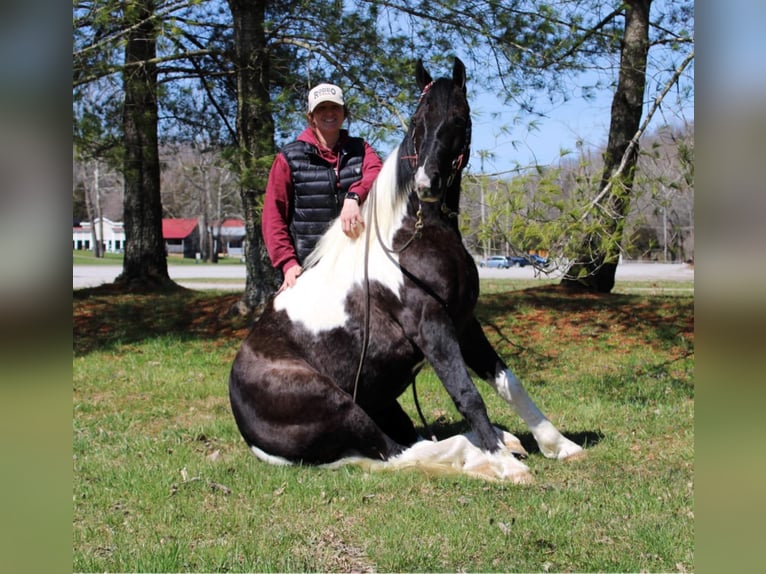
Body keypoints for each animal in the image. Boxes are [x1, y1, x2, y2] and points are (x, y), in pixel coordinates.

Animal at [228, 58, 584, 484]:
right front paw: (504, 464)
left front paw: (559, 445)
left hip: (382, 405)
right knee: (397, 451)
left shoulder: (464, 322)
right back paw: (482, 454)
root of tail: (247, 430)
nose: (426, 183)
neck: (409, 242)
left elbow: (506, 381)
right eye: (417, 119)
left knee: (409, 441)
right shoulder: (431, 326)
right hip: (341, 405)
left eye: (459, 118)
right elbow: (467, 395)